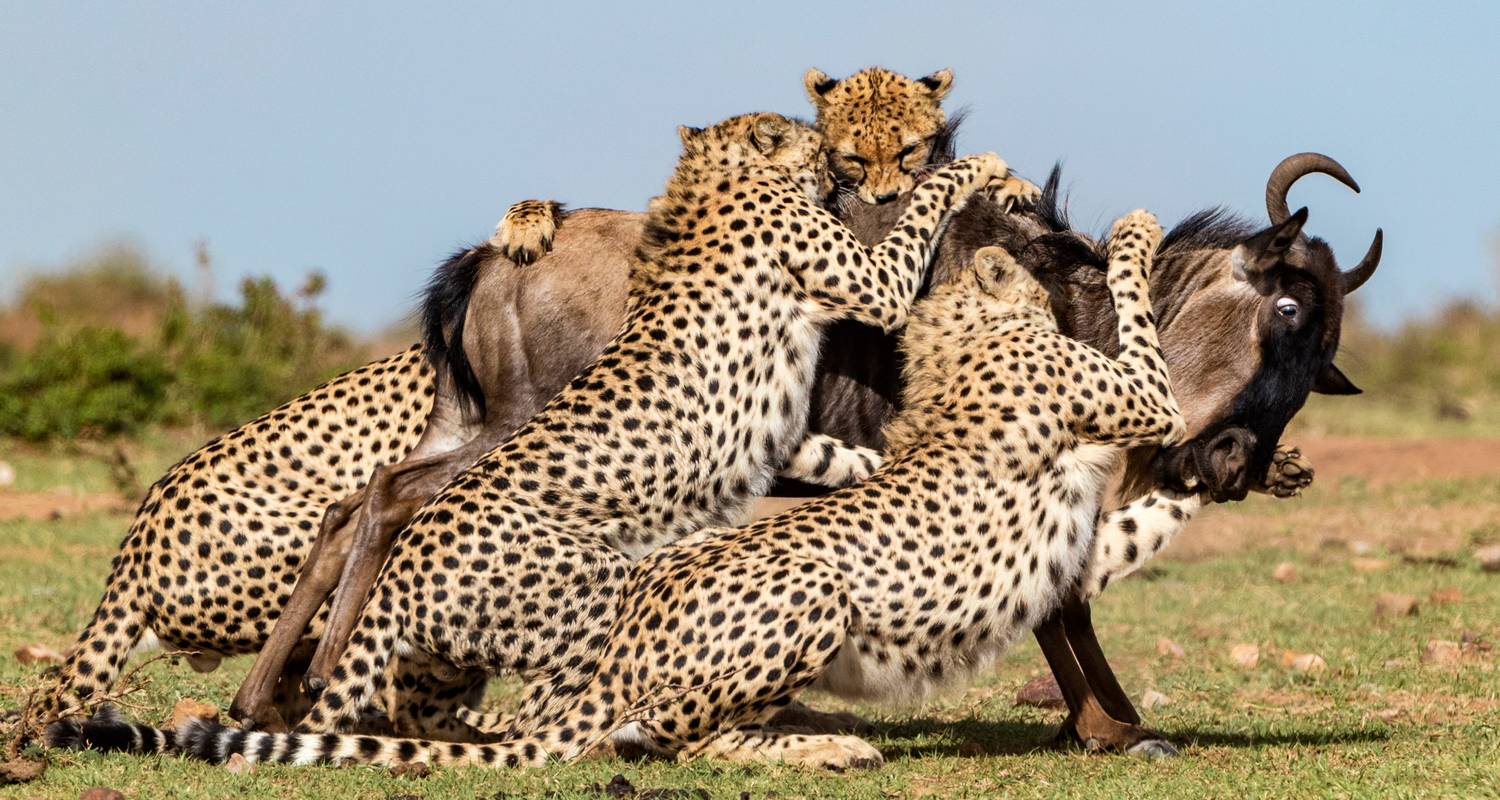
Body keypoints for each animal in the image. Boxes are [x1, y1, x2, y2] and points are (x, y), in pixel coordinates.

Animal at [85, 208, 1182, 768]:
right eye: (1030, 219)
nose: (1076, 251)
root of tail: (490, 254)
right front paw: (1113, 725)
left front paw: (1107, 721)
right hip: (526, 433)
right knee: (403, 511)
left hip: (472, 423)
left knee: (365, 500)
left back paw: (281, 692)